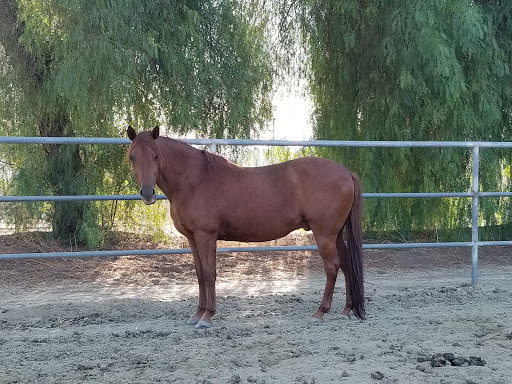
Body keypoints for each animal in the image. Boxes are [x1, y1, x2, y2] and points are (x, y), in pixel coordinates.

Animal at [128, 125, 368, 328]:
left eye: (156, 155)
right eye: (132, 157)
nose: (147, 193)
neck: (195, 180)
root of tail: (346, 173)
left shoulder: (206, 236)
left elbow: (209, 273)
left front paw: (207, 317)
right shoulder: (192, 238)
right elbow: (199, 274)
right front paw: (197, 314)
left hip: (324, 234)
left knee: (332, 267)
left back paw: (320, 312)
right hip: (336, 234)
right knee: (346, 265)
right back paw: (346, 310)